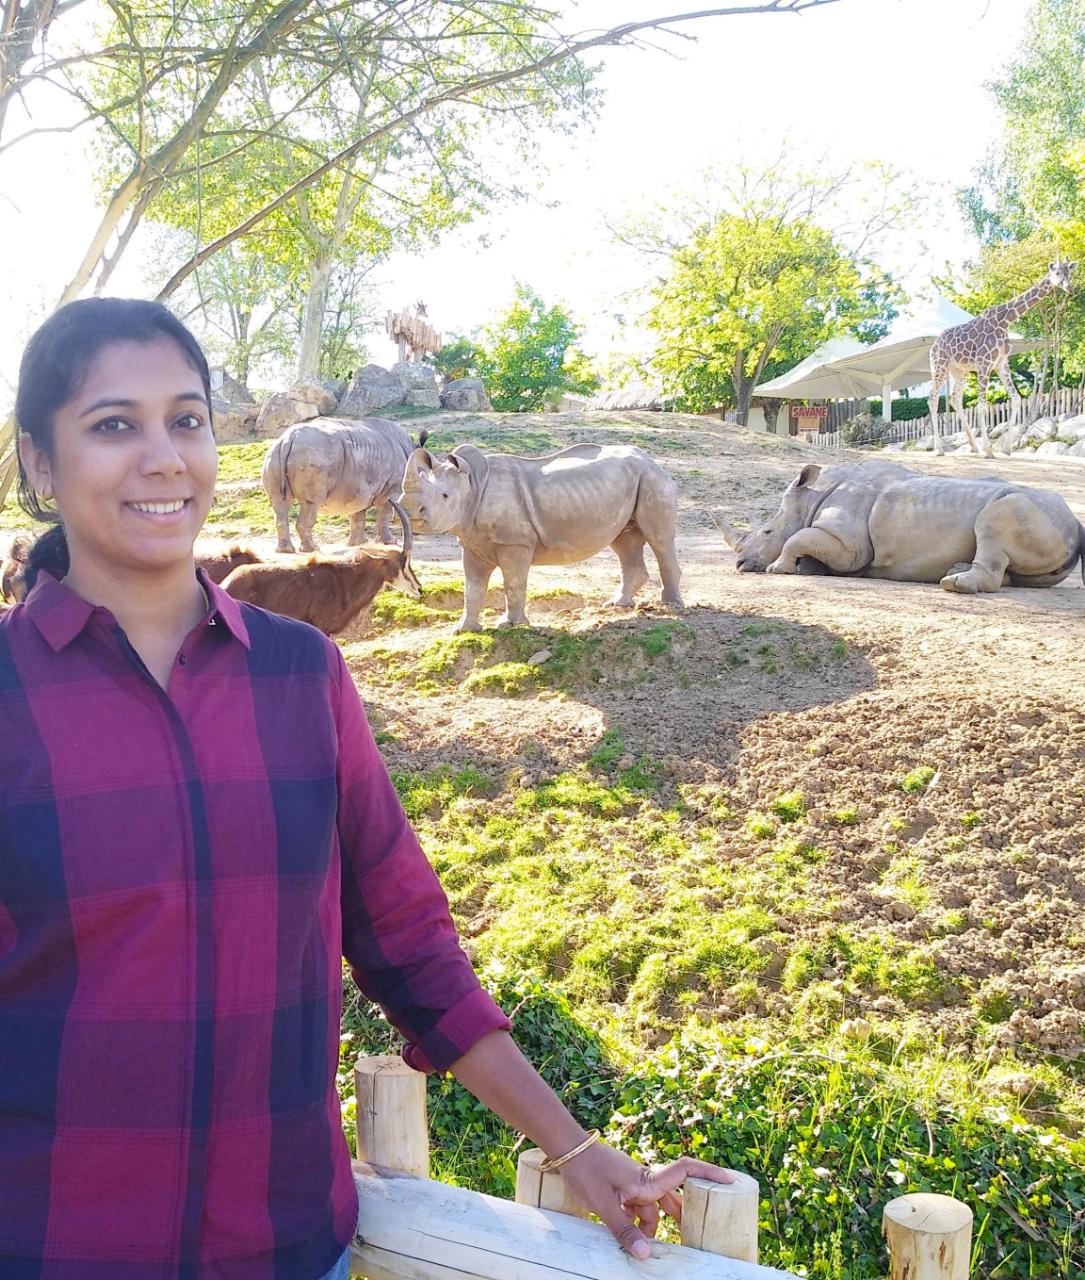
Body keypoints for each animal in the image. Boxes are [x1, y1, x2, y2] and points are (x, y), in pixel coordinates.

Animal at [926, 258, 1074, 455]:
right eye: (1057, 273)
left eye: (1069, 273)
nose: (1069, 287)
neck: (1005, 321)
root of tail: (933, 346)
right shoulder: (984, 363)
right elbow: (982, 406)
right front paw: (989, 451)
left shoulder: (1001, 363)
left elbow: (1016, 399)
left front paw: (1006, 449)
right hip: (939, 366)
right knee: (933, 399)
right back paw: (940, 449)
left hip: (958, 370)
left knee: (954, 398)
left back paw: (973, 446)